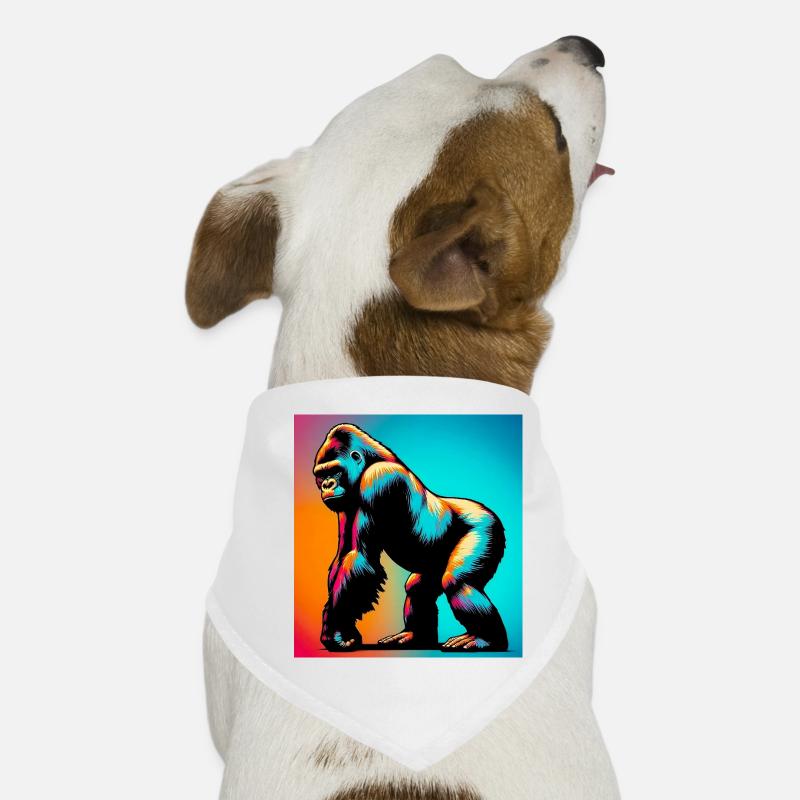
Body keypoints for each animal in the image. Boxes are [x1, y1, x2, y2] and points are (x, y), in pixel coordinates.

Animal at [312, 423, 508, 652]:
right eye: (321, 474)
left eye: (335, 470)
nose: (327, 485)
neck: (370, 460)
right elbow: (345, 555)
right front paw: (336, 629)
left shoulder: (378, 478)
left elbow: (360, 558)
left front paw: (336, 632)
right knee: (417, 587)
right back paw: (416, 636)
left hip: (486, 525)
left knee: (458, 582)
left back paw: (486, 638)